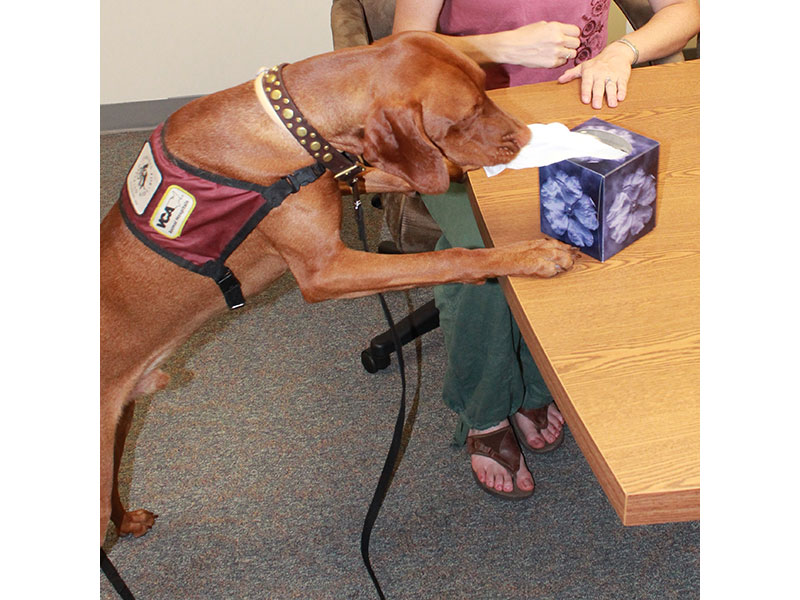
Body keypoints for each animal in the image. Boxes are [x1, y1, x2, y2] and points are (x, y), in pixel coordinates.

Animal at [101, 31, 576, 544]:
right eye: (466, 115)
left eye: (488, 91)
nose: (526, 138)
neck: (291, 123)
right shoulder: (326, 271)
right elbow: (447, 257)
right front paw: (530, 254)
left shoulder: (352, 174)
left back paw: (129, 520)